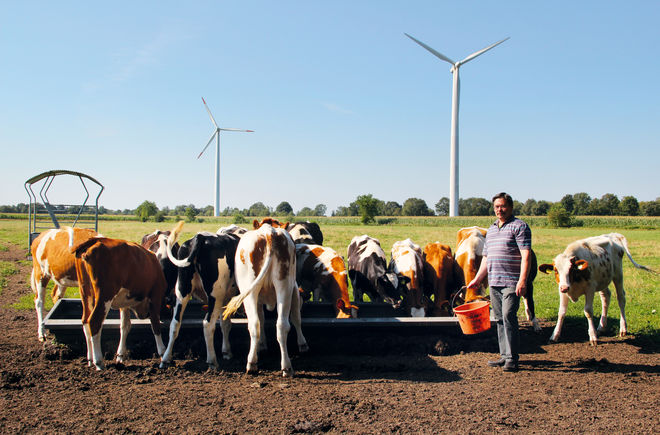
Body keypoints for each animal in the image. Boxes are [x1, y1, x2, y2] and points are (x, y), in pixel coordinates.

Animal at [71, 237, 169, 370]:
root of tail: (95, 240)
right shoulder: (156, 295)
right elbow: (155, 325)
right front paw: (163, 352)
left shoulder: (124, 304)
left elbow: (124, 326)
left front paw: (121, 355)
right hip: (105, 294)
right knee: (94, 321)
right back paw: (99, 362)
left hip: (85, 293)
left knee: (85, 321)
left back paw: (90, 358)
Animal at [159, 223, 240, 370]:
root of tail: (200, 237)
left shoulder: (226, 299)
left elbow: (225, 323)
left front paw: (226, 352)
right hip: (215, 294)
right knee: (208, 324)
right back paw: (212, 361)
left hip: (183, 290)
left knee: (175, 323)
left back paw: (166, 358)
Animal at [223, 223, 308, 376]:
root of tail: (268, 232)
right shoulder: (293, 290)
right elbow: (294, 317)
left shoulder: (292, 290)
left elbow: (294, 318)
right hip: (283, 286)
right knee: (279, 325)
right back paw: (285, 366)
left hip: (254, 291)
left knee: (256, 324)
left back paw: (252, 363)